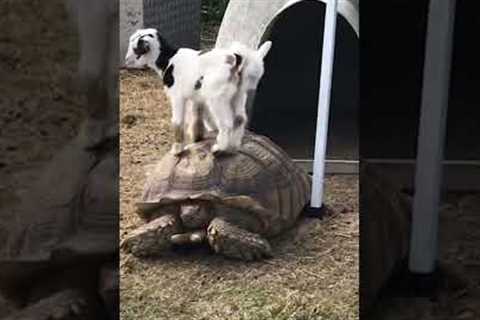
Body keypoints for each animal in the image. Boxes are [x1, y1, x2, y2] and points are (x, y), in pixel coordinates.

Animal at [124, 28, 274, 154]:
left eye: (135, 48)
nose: (126, 61)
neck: (168, 59)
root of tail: (235, 59)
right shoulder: (198, 97)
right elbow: (202, 116)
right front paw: (205, 133)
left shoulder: (177, 97)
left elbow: (177, 121)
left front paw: (176, 150)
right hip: (238, 95)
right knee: (240, 119)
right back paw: (233, 146)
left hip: (217, 98)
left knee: (226, 122)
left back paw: (219, 147)